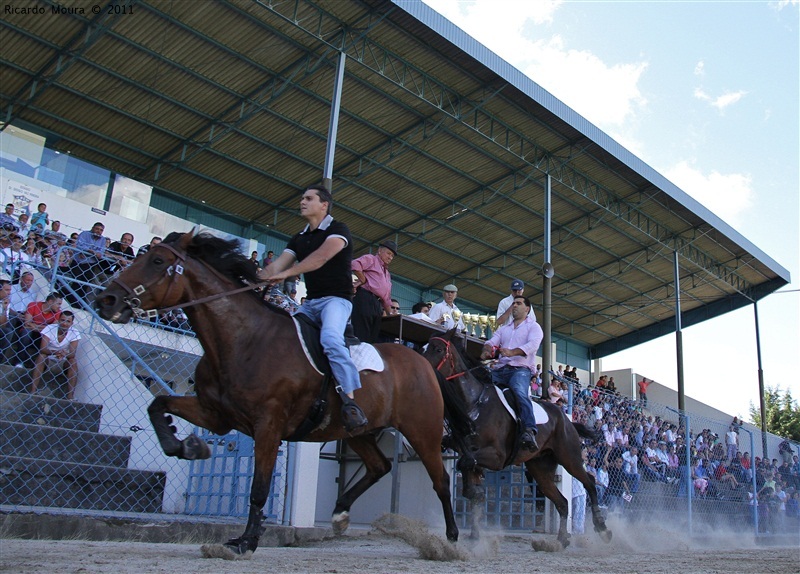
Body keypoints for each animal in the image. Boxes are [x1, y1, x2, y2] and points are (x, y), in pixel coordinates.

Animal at [95, 232, 456, 556]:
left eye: (157, 261)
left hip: (422, 430)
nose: (106, 300)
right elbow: (158, 404)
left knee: (440, 480)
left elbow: (259, 488)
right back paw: (340, 514)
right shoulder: (216, 414)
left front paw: (245, 542)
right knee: (379, 466)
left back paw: (451, 541)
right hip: (358, 431)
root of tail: (423, 361)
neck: (246, 339)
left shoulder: (268, 425)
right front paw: (187, 446)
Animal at [424, 328, 612, 548]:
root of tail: (567, 420)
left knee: (589, 482)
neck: (475, 404)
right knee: (562, 502)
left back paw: (602, 527)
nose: (422, 367)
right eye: (424, 347)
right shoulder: (471, 456)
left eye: (437, 349)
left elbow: (465, 466)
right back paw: (562, 539)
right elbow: (468, 474)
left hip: (570, 458)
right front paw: (475, 532)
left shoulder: (496, 457)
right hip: (540, 469)